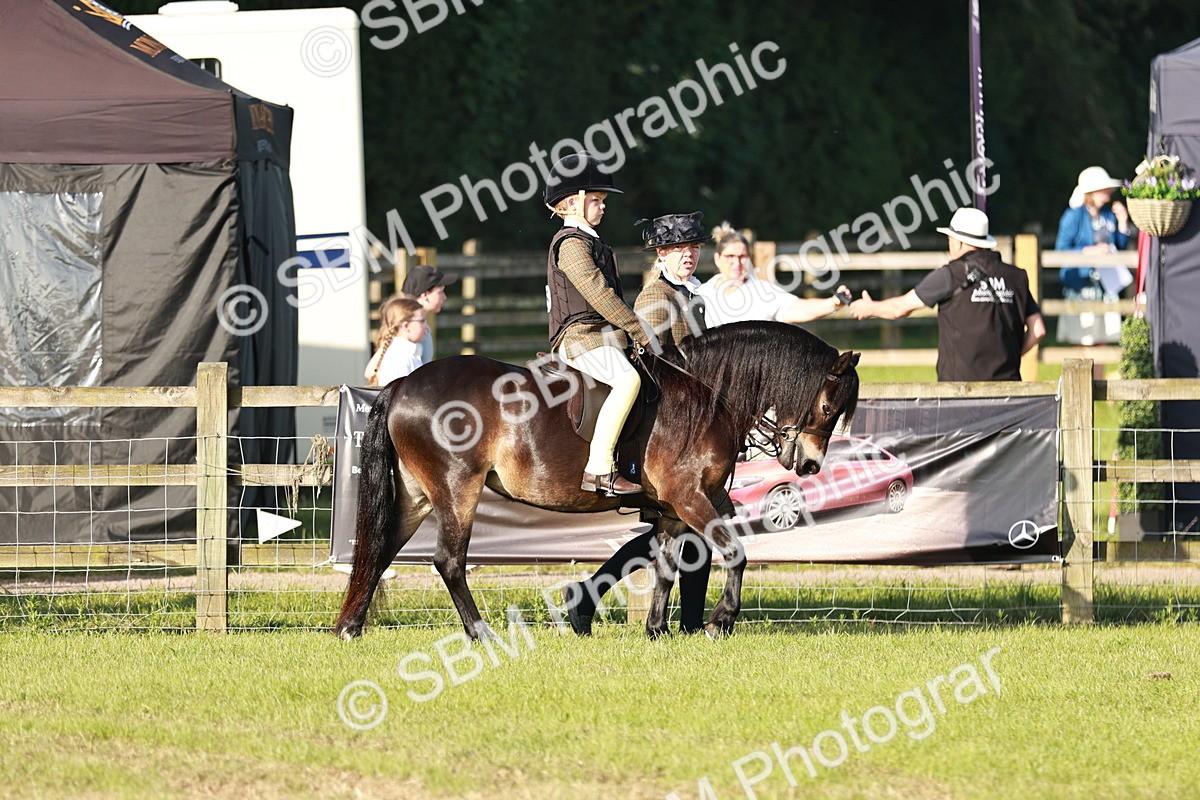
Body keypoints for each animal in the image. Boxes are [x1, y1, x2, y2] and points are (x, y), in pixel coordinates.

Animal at [335, 320, 859, 640]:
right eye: (828, 407)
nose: (810, 466)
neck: (705, 393)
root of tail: (403, 384)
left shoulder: (674, 508)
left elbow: (666, 565)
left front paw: (656, 630)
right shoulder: (689, 497)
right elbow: (735, 553)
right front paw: (719, 622)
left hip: (416, 494)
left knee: (379, 549)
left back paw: (350, 627)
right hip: (455, 488)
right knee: (448, 560)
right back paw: (480, 632)